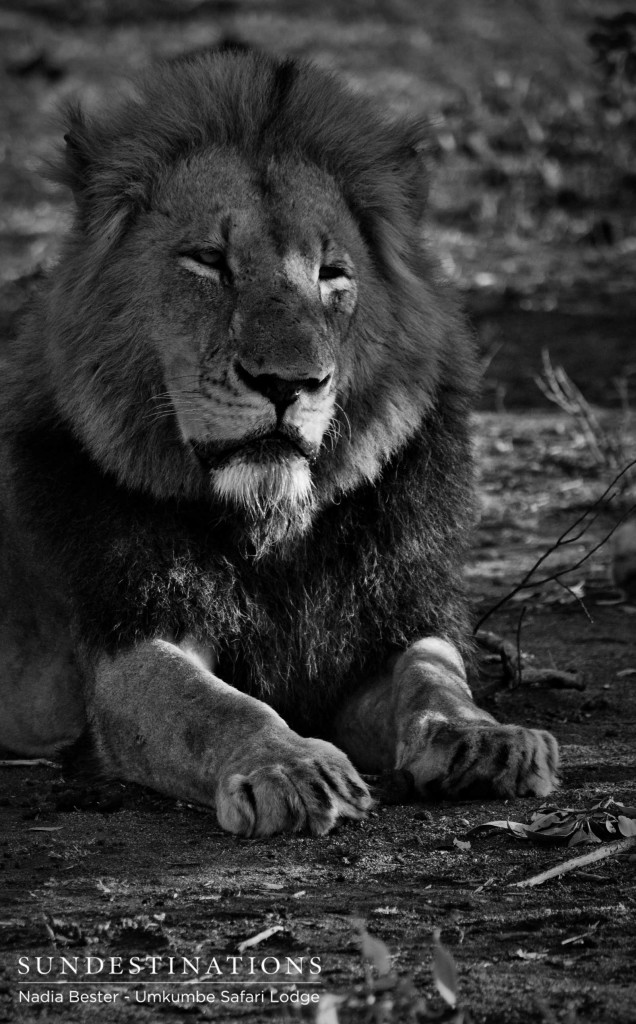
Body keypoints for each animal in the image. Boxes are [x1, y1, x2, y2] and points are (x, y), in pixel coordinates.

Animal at [0, 48, 557, 835]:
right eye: (208, 260)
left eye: (332, 275)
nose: (286, 383)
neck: (271, 532)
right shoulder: (126, 644)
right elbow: (211, 707)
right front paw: (291, 768)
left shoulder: (386, 623)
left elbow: (434, 674)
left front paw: (484, 739)